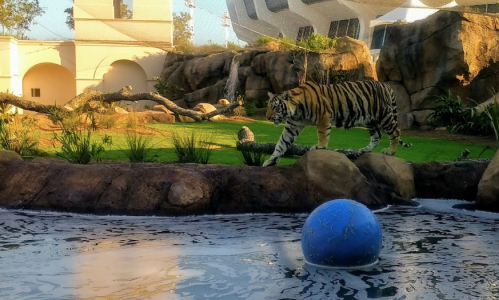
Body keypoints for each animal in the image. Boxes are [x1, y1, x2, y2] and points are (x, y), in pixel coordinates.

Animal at [264, 80, 412, 166]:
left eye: (275, 107)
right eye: (268, 106)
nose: (268, 117)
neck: (295, 111)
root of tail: (386, 85)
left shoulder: (324, 116)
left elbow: (322, 134)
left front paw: (320, 147)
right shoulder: (292, 126)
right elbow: (281, 143)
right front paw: (271, 161)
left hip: (384, 115)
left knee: (395, 132)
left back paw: (390, 151)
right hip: (369, 120)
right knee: (377, 136)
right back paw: (364, 151)